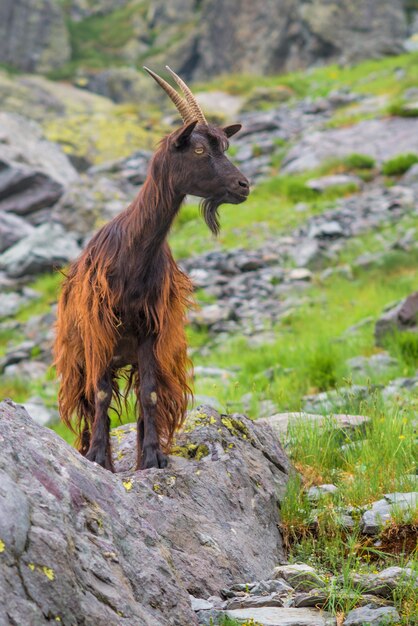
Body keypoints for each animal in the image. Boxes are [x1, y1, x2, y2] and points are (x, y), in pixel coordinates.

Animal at [51, 67, 248, 468]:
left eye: (225, 147)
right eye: (200, 149)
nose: (243, 185)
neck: (132, 256)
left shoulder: (150, 332)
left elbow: (150, 396)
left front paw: (154, 458)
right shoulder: (99, 333)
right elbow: (100, 395)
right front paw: (98, 458)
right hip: (80, 355)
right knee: (88, 400)